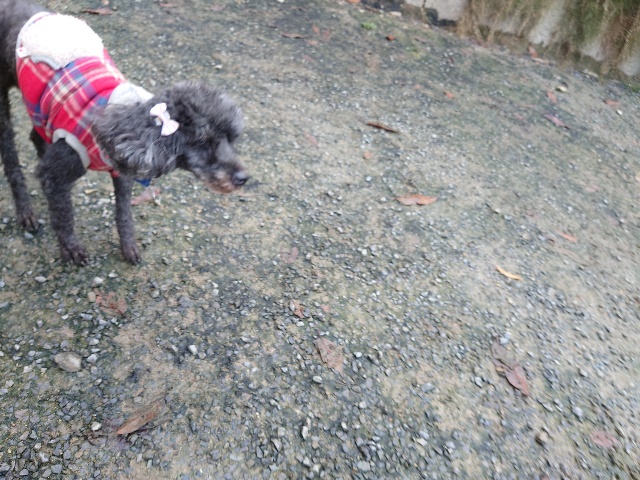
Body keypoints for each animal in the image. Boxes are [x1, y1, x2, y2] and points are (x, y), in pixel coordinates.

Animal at [0, 0, 247, 265]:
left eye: (231, 139)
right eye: (203, 140)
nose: (243, 178)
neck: (129, 121)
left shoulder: (124, 170)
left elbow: (124, 212)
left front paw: (128, 246)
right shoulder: (58, 171)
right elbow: (63, 215)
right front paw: (70, 249)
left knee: (36, 136)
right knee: (11, 156)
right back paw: (25, 211)